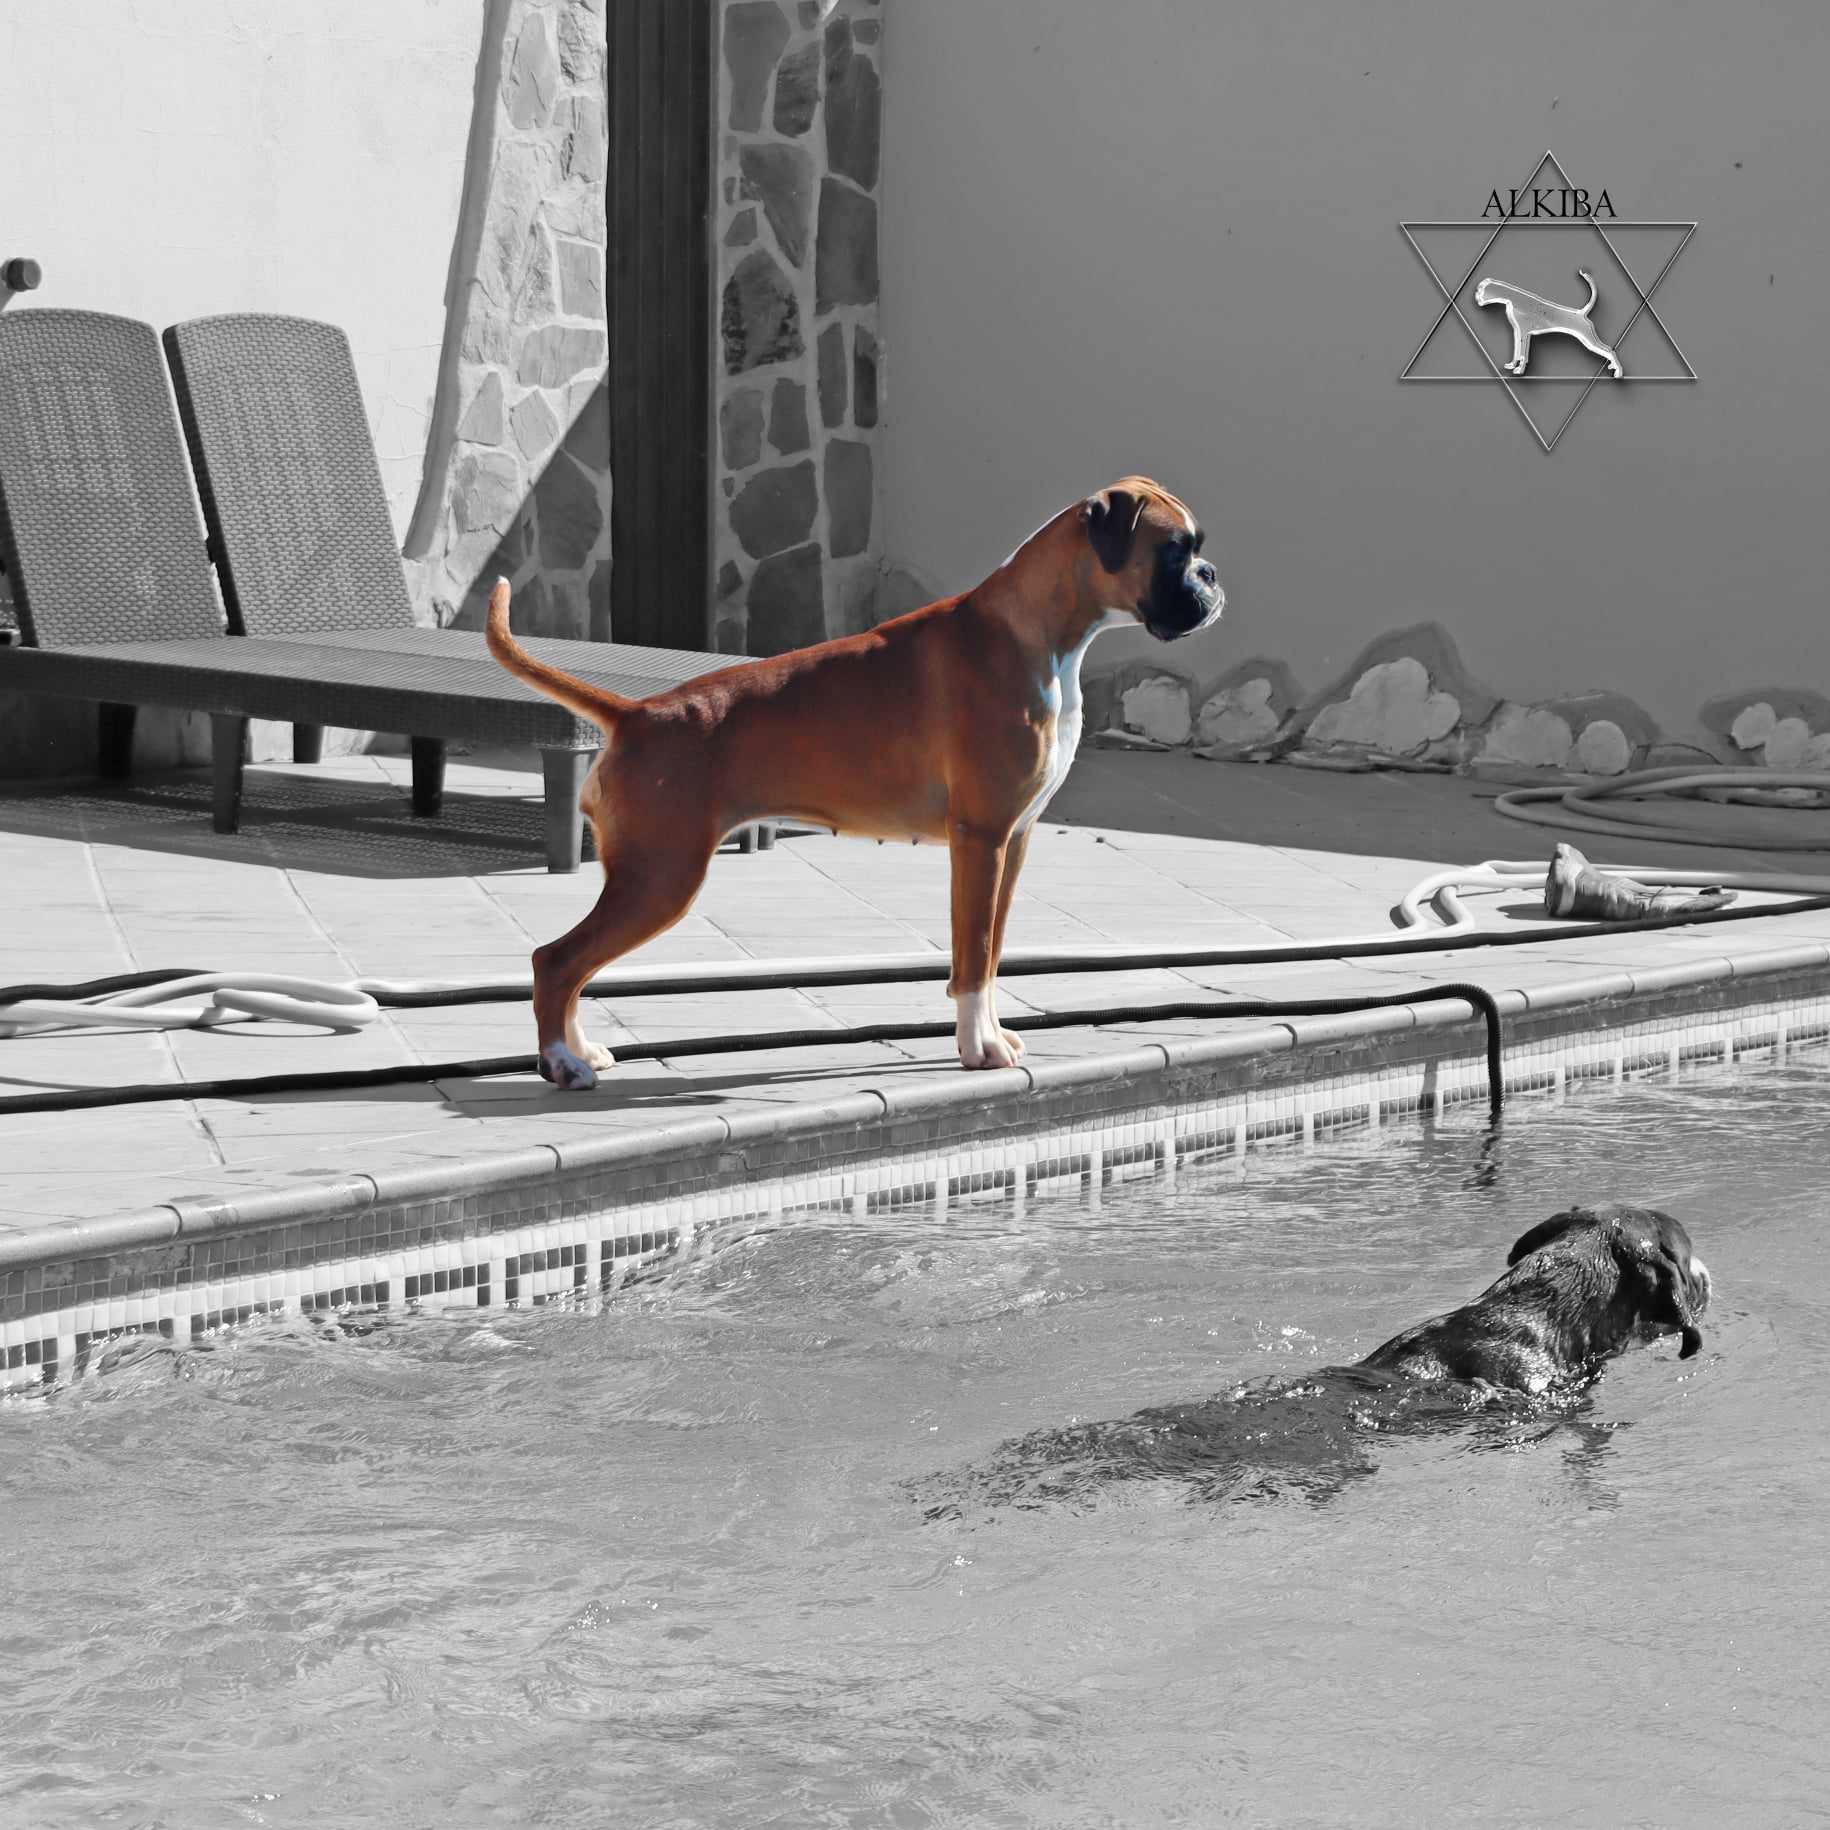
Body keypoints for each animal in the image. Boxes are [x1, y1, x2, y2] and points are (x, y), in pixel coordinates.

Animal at [485, 477, 1223, 1090]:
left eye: (1196, 550)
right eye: (1174, 550)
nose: (1213, 577)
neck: (1041, 631)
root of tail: (635, 714)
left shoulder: (1012, 844)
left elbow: (989, 954)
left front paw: (991, 1037)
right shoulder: (980, 841)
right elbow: (973, 954)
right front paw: (979, 1050)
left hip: (650, 878)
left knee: (574, 965)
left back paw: (582, 1050)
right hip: (660, 877)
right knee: (556, 960)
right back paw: (562, 1062)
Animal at [1474, 269, 1623, 377]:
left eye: (1480, 290)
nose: (1477, 297)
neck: (1514, 299)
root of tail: (1581, 313)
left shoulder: (1523, 333)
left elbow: (1522, 354)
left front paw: (1519, 370)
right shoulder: (1520, 333)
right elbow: (1517, 352)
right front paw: (1512, 365)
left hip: (1588, 339)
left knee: (1609, 351)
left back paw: (1617, 371)